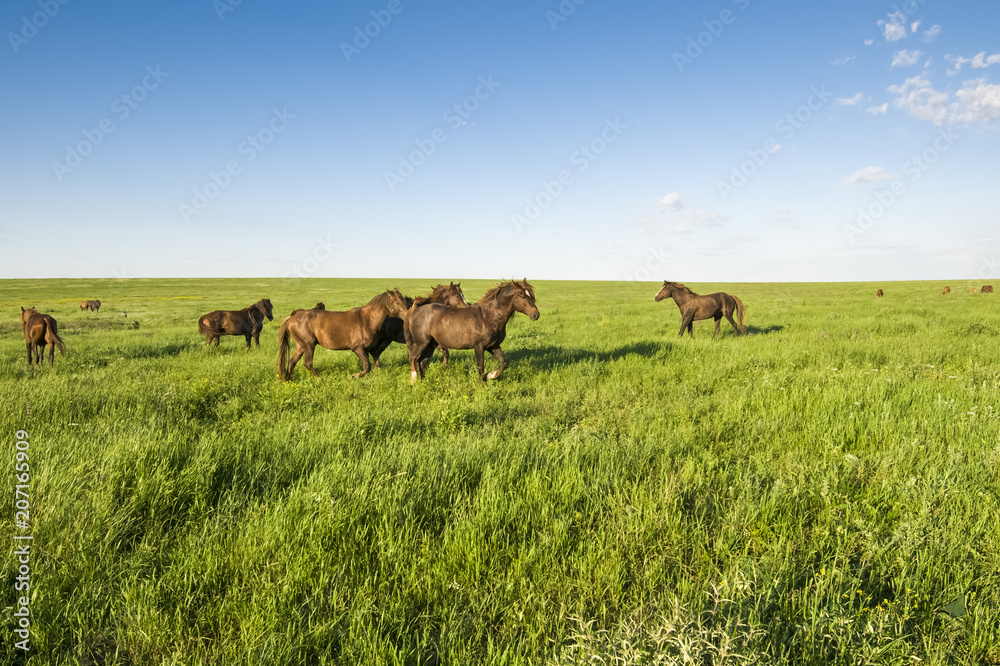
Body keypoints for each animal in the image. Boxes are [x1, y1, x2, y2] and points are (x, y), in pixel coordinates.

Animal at [404, 278, 540, 384]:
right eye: (522, 296)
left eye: (531, 295)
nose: (536, 315)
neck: (489, 316)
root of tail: (413, 313)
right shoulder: (479, 347)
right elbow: (480, 367)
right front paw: (481, 387)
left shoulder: (493, 346)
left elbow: (505, 362)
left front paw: (490, 376)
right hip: (422, 343)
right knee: (413, 358)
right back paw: (414, 379)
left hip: (431, 345)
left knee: (422, 361)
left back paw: (424, 381)